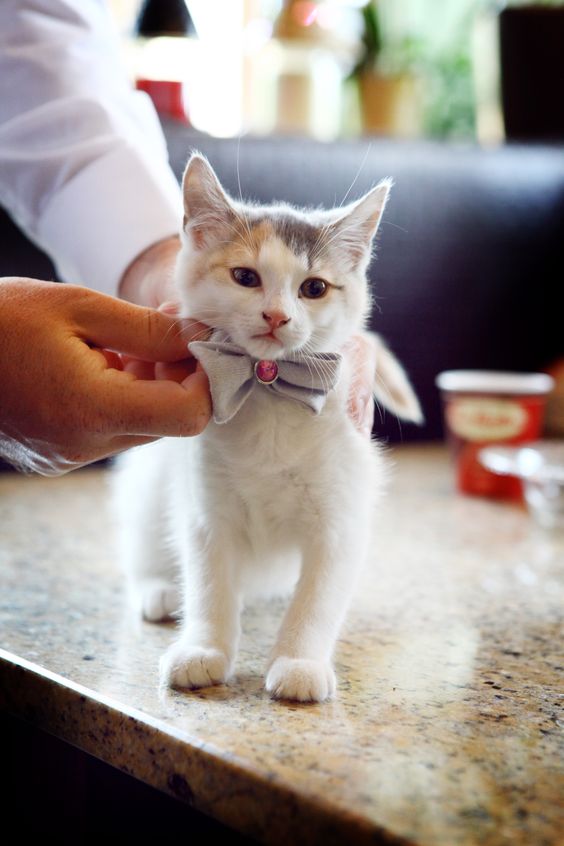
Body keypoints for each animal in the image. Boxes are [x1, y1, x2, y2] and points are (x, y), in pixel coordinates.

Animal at [114, 152, 420, 704]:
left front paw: (299, 660)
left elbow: (317, 599)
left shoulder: (340, 521)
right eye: (245, 276)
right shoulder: (206, 512)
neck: (268, 388)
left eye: (314, 288)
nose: (276, 315)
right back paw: (158, 588)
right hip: (151, 489)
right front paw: (204, 648)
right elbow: (209, 584)